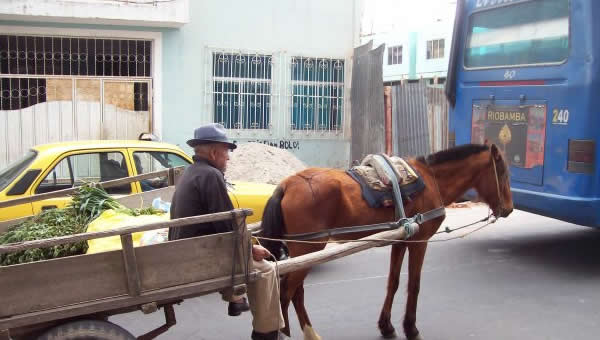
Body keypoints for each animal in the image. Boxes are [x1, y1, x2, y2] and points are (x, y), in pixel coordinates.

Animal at [258, 144, 510, 340]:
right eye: (503, 173)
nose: (508, 209)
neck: (432, 180)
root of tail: (286, 185)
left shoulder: (400, 241)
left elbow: (393, 282)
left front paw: (386, 326)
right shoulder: (420, 242)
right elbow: (414, 284)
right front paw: (411, 328)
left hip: (304, 251)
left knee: (295, 291)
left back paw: (309, 332)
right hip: (309, 247)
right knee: (286, 291)